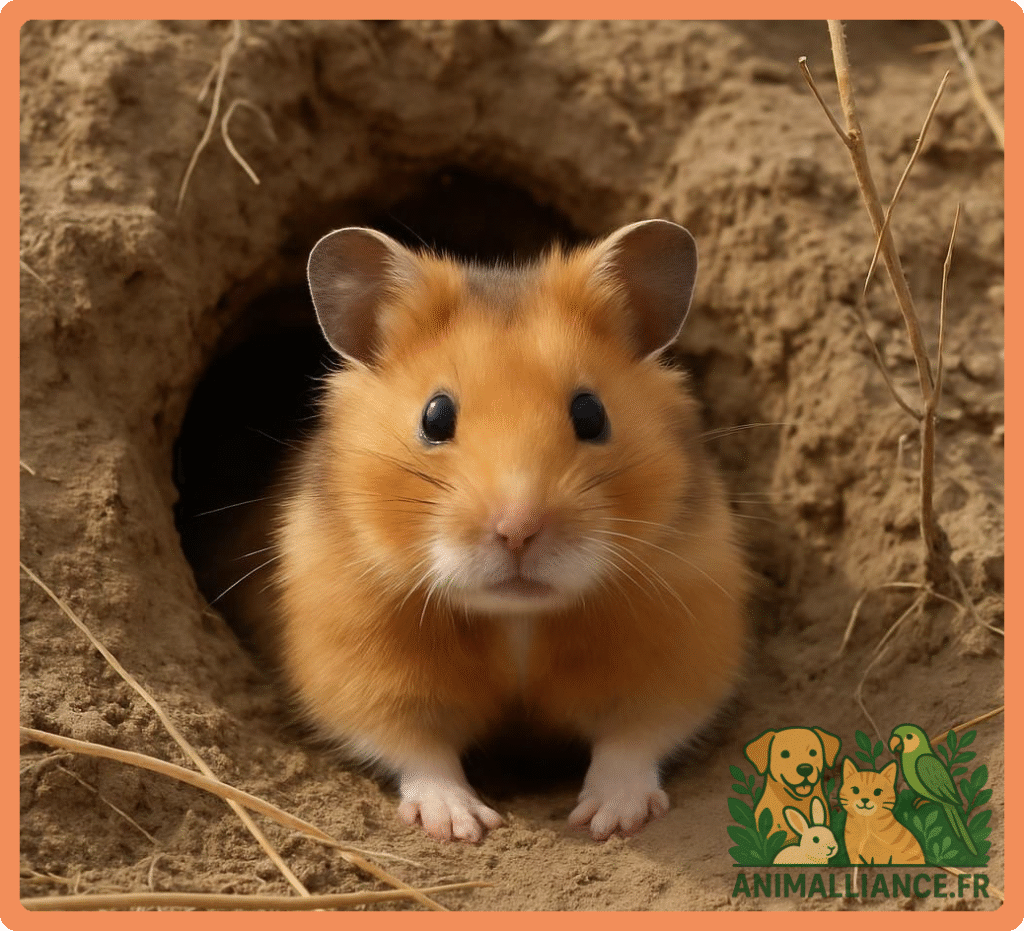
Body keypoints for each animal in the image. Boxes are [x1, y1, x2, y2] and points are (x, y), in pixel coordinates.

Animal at [273, 219, 749, 843]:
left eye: (591, 413)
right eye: (435, 416)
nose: (518, 531)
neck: (516, 616)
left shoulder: (683, 647)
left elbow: (633, 738)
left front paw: (607, 821)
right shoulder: (355, 662)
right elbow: (418, 748)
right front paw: (462, 826)